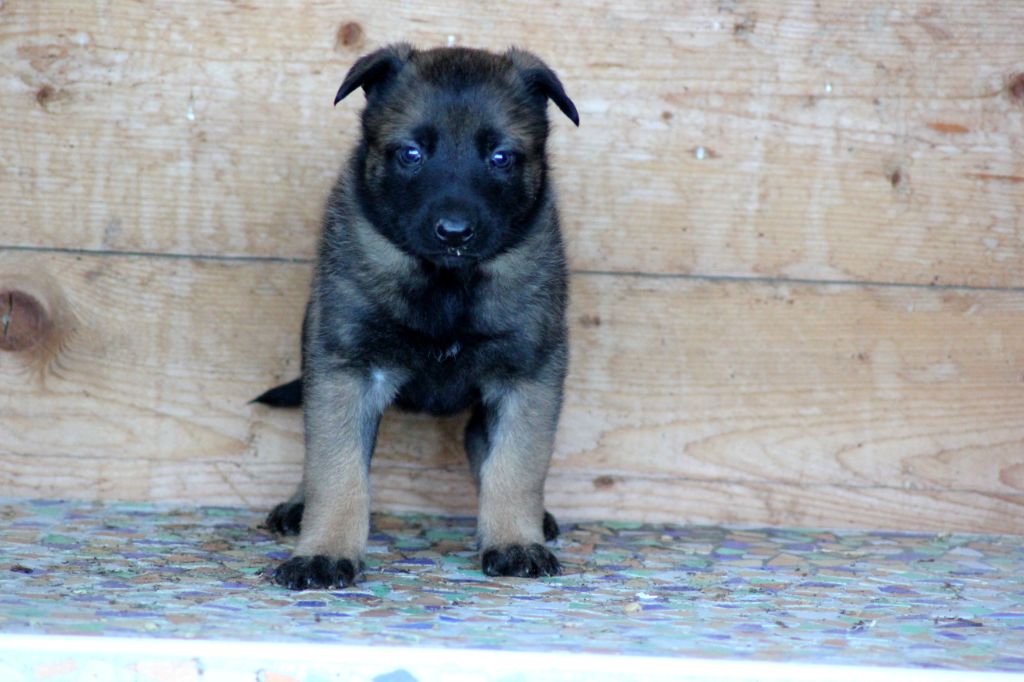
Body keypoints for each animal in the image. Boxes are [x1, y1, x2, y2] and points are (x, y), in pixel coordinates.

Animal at [254, 43, 579, 590]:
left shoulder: (526, 377)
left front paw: (515, 539)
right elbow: (335, 470)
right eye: (411, 154)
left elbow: (516, 466)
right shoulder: (348, 371)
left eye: (500, 157)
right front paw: (325, 551)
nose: (455, 232)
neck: (446, 284)